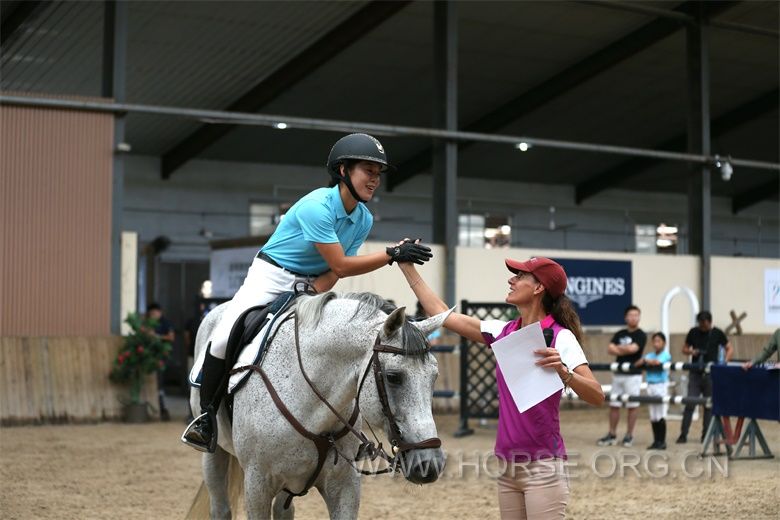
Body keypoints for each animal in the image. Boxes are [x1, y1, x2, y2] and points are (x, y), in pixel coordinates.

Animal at [187, 290, 450, 516]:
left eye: (434, 376)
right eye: (393, 377)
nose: (429, 464)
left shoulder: (344, 486)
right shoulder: (257, 485)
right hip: (215, 455)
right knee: (221, 507)